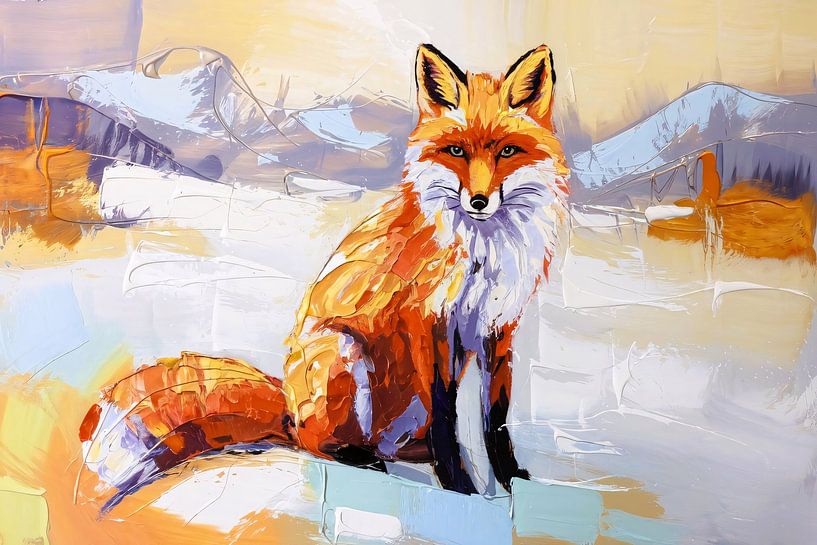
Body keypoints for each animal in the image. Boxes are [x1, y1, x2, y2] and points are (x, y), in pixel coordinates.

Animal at [79, 43, 570, 510]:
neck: (482, 252)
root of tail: (287, 410)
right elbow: (449, 418)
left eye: (507, 151)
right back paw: (361, 458)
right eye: (456, 151)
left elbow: (495, 418)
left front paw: (512, 482)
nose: (480, 201)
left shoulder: (497, 328)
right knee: (318, 444)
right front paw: (460, 488)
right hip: (342, 353)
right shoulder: (428, 325)